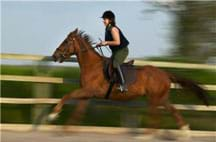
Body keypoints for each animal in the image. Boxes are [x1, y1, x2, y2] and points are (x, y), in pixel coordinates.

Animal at [49, 28, 209, 133]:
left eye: (66, 41)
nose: (54, 56)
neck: (92, 66)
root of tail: (164, 73)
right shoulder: (87, 94)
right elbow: (78, 111)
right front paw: (67, 128)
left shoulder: (89, 90)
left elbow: (67, 96)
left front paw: (53, 115)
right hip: (161, 97)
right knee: (172, 110)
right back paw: (185, 132)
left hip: (154, 98)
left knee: (156, 114)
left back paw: (147, 135)